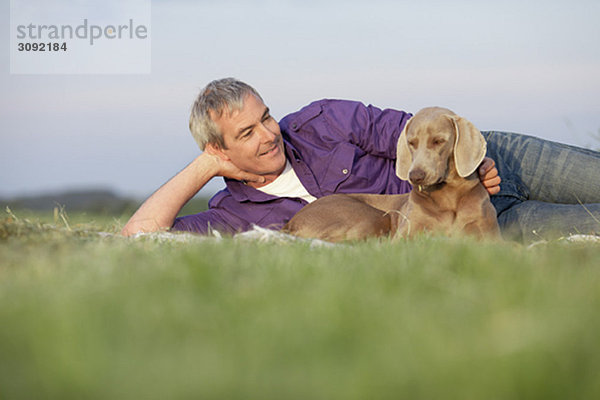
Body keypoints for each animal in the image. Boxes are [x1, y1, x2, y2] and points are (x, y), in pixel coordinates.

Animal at [284, 106, 500, 242]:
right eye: (411, 142)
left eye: (438, 141)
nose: (416, 176)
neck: (448, 197)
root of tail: (291, 222)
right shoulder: (405, 236)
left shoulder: (489, 238)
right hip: (371, 216)